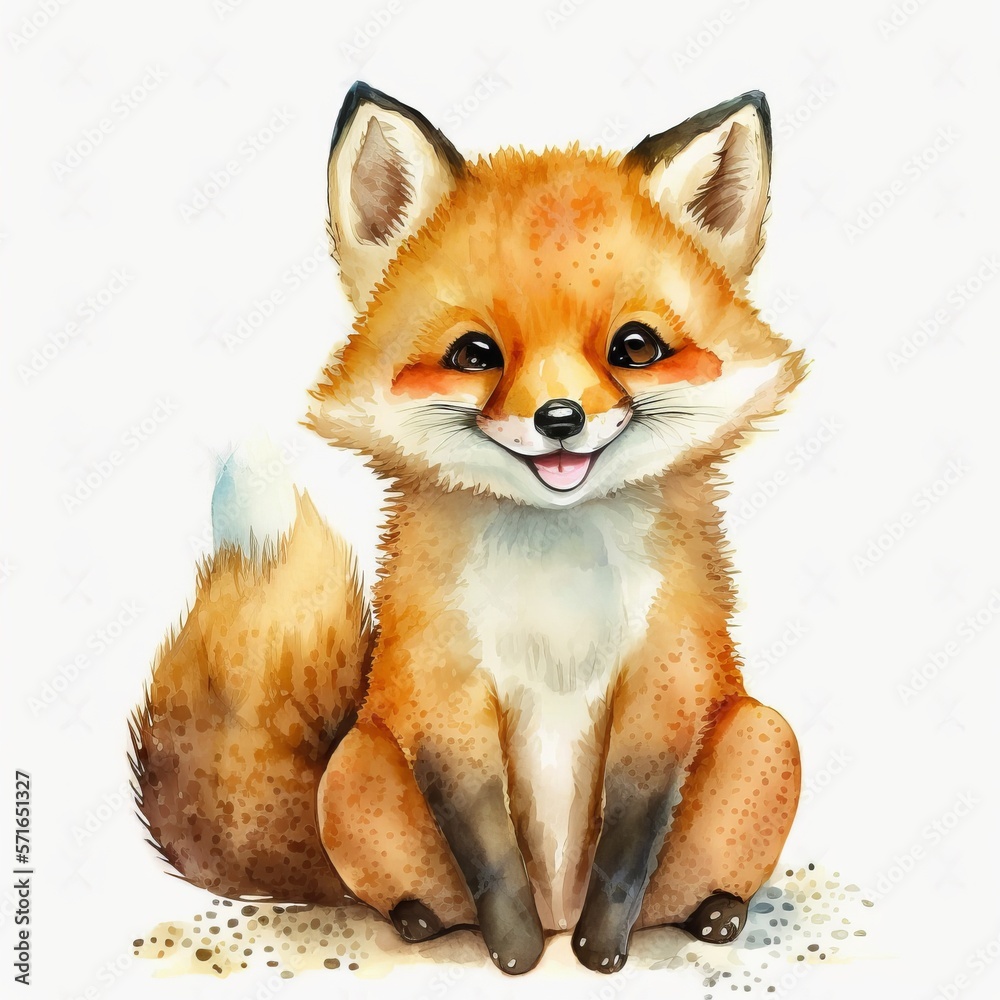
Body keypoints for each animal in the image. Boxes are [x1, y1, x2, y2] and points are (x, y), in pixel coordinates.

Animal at [130, 82, 805, 977]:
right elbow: (486, 848)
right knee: (410, 894)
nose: (561, 419)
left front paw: (601, 952)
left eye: (635, 346)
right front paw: (513, 956)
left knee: (688, 883)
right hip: (358, 769)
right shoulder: (441, 691)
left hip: (763, 736)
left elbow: (628, 844)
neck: (557, 588)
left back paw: (715, 913)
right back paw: (424, 921)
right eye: (475, 354)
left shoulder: (668, 682)